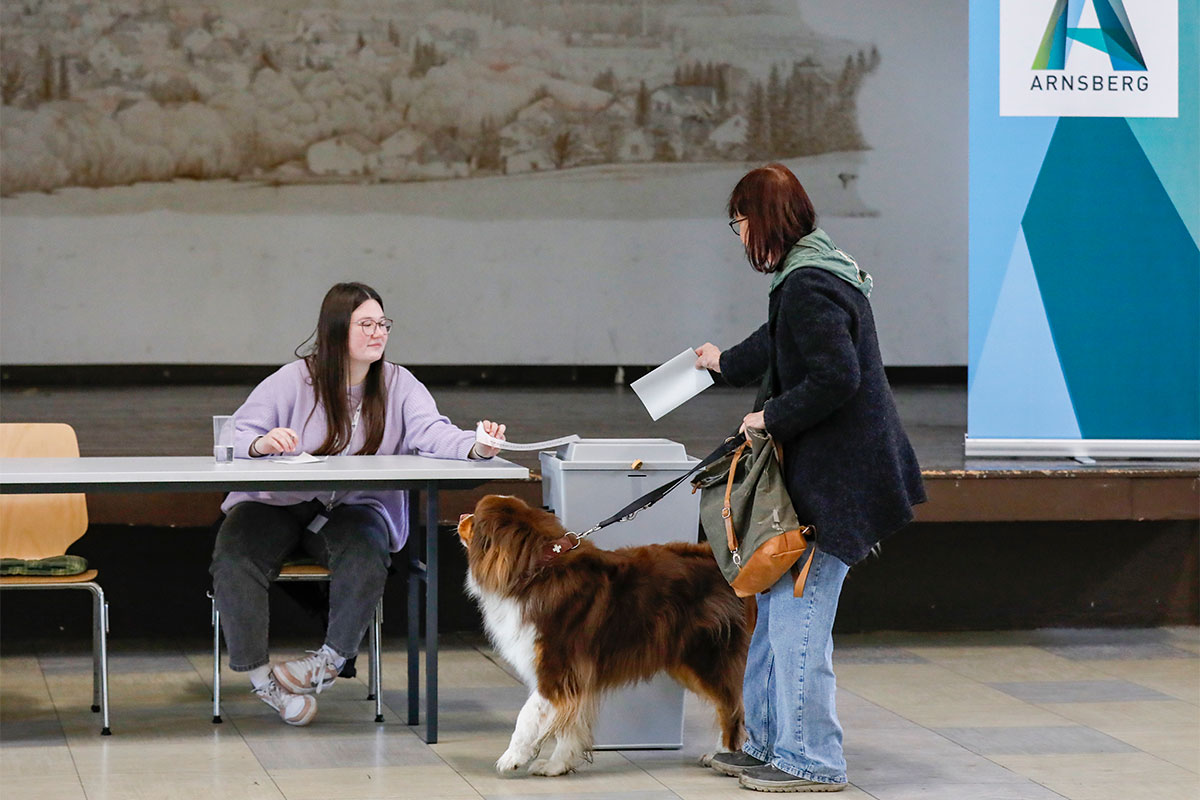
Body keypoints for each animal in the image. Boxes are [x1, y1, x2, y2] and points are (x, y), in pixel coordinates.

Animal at [453, 494, 744, 777]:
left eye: (475, 517)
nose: (461, 516)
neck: (535, 571)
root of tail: (713, 557)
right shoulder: (573, 678)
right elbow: (568, 725)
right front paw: (556, 765)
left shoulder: (557, 669)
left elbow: (528, 714)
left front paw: (512, 758)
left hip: (709, 655)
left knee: (732, 705)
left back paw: (725, 755)